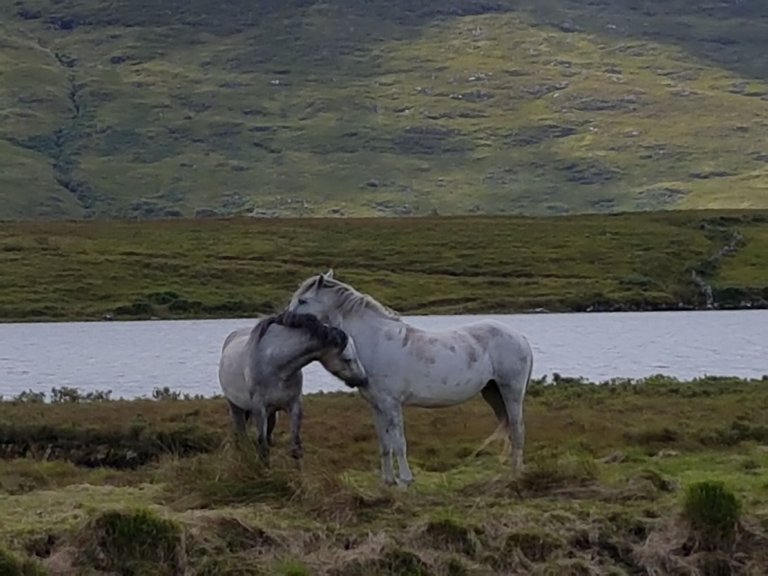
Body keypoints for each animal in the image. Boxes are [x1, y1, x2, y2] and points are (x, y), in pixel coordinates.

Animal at [216, 310, 368, 464]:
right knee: (242, 436)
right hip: (236, 407)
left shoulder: (294, 406)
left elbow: (295, 448)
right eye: (347, 359)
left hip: (271, 414)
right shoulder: (260, 408)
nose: (363, 379)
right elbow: (263, 449)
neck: (275, 365)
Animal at [286, 270, 536, 486]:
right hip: (493, 392)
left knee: (518, 430)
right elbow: (384, 443)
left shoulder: (392, 403)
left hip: (511, 392)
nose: (284, 321)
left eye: (303, 301)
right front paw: (387, 482)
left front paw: (405, 481)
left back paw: (515, 476)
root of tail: (520, 337)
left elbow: (399, 442)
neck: (375, 340)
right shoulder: (376, 405)